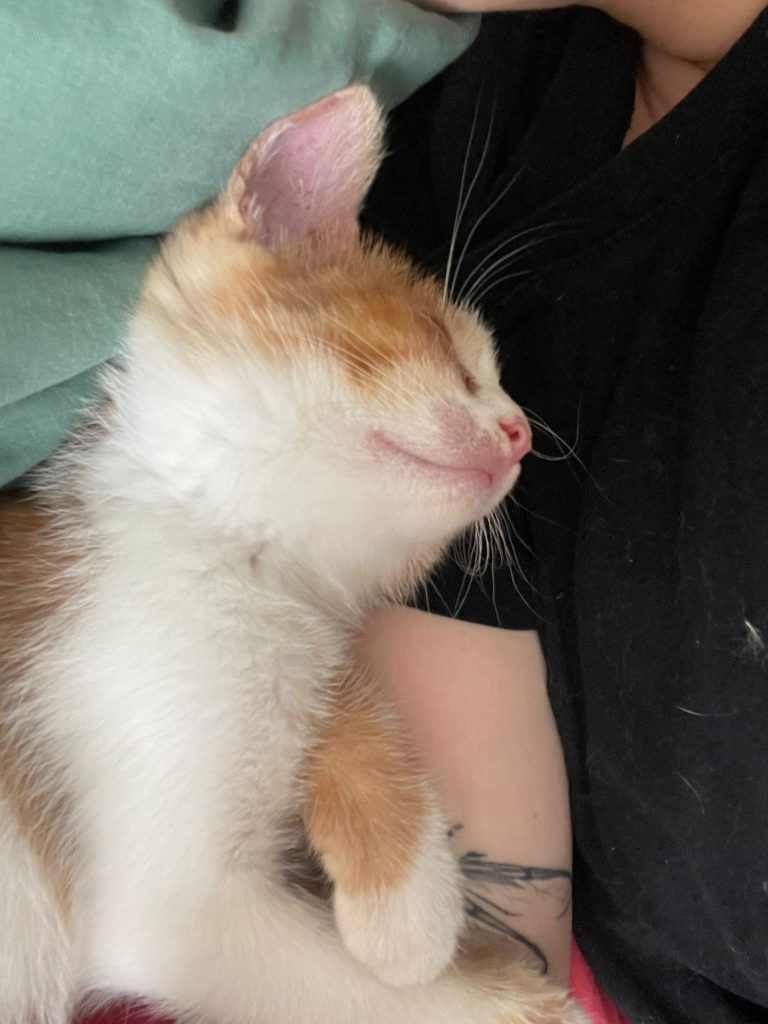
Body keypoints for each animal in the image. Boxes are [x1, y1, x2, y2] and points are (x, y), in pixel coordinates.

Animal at [0, 86, 587, 1024]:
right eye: (446, 346)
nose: (521, 433)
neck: (227, 554)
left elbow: (332, 690)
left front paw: (407, 896)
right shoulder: (184, 916)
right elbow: (360, 992)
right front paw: (481, 981)